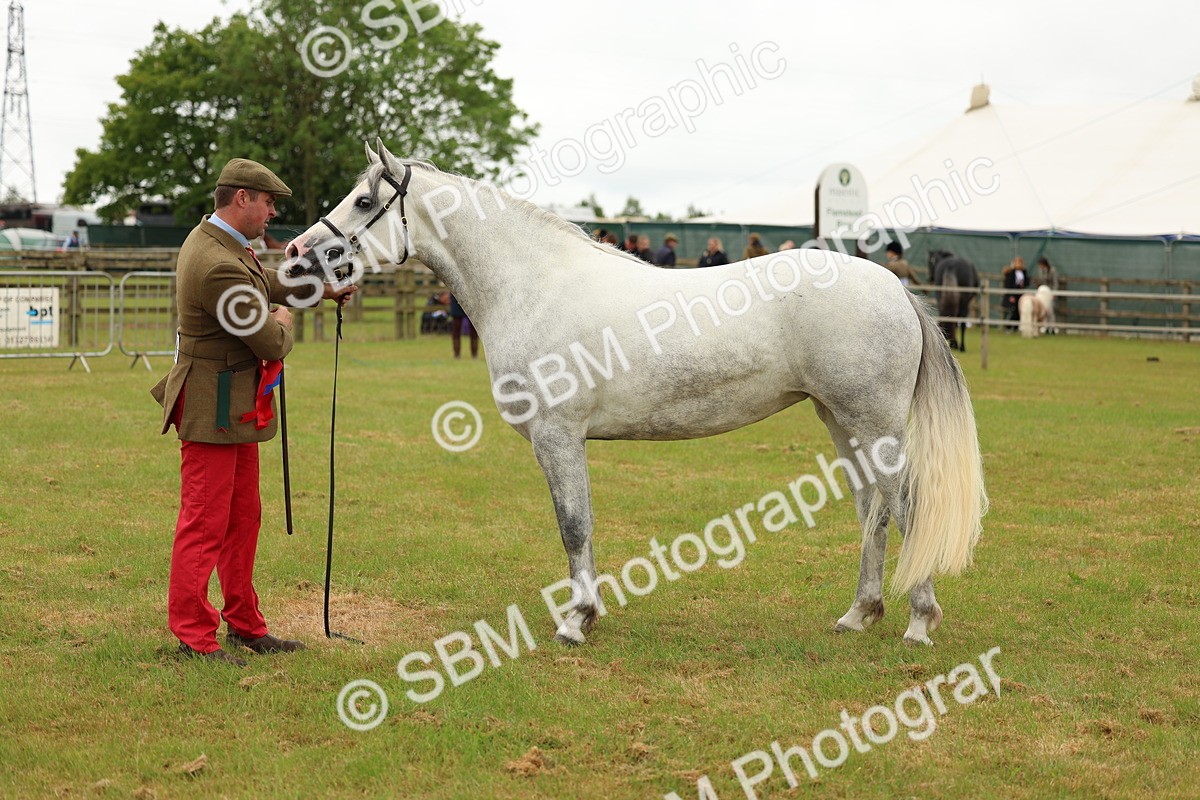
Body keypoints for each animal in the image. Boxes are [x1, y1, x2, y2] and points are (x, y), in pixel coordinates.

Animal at [284, 141, 988, 647]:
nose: (295, 253)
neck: (535, 284)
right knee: (873, 509)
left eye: (364, 200)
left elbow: (573, 525)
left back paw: (918, 621)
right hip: (842, 422)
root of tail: (893, 287)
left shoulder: (558, 436)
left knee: (905, 506)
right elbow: (581, 526)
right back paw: (859, 614)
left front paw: (575, 622)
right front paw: (585, 614)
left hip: (875, 424)